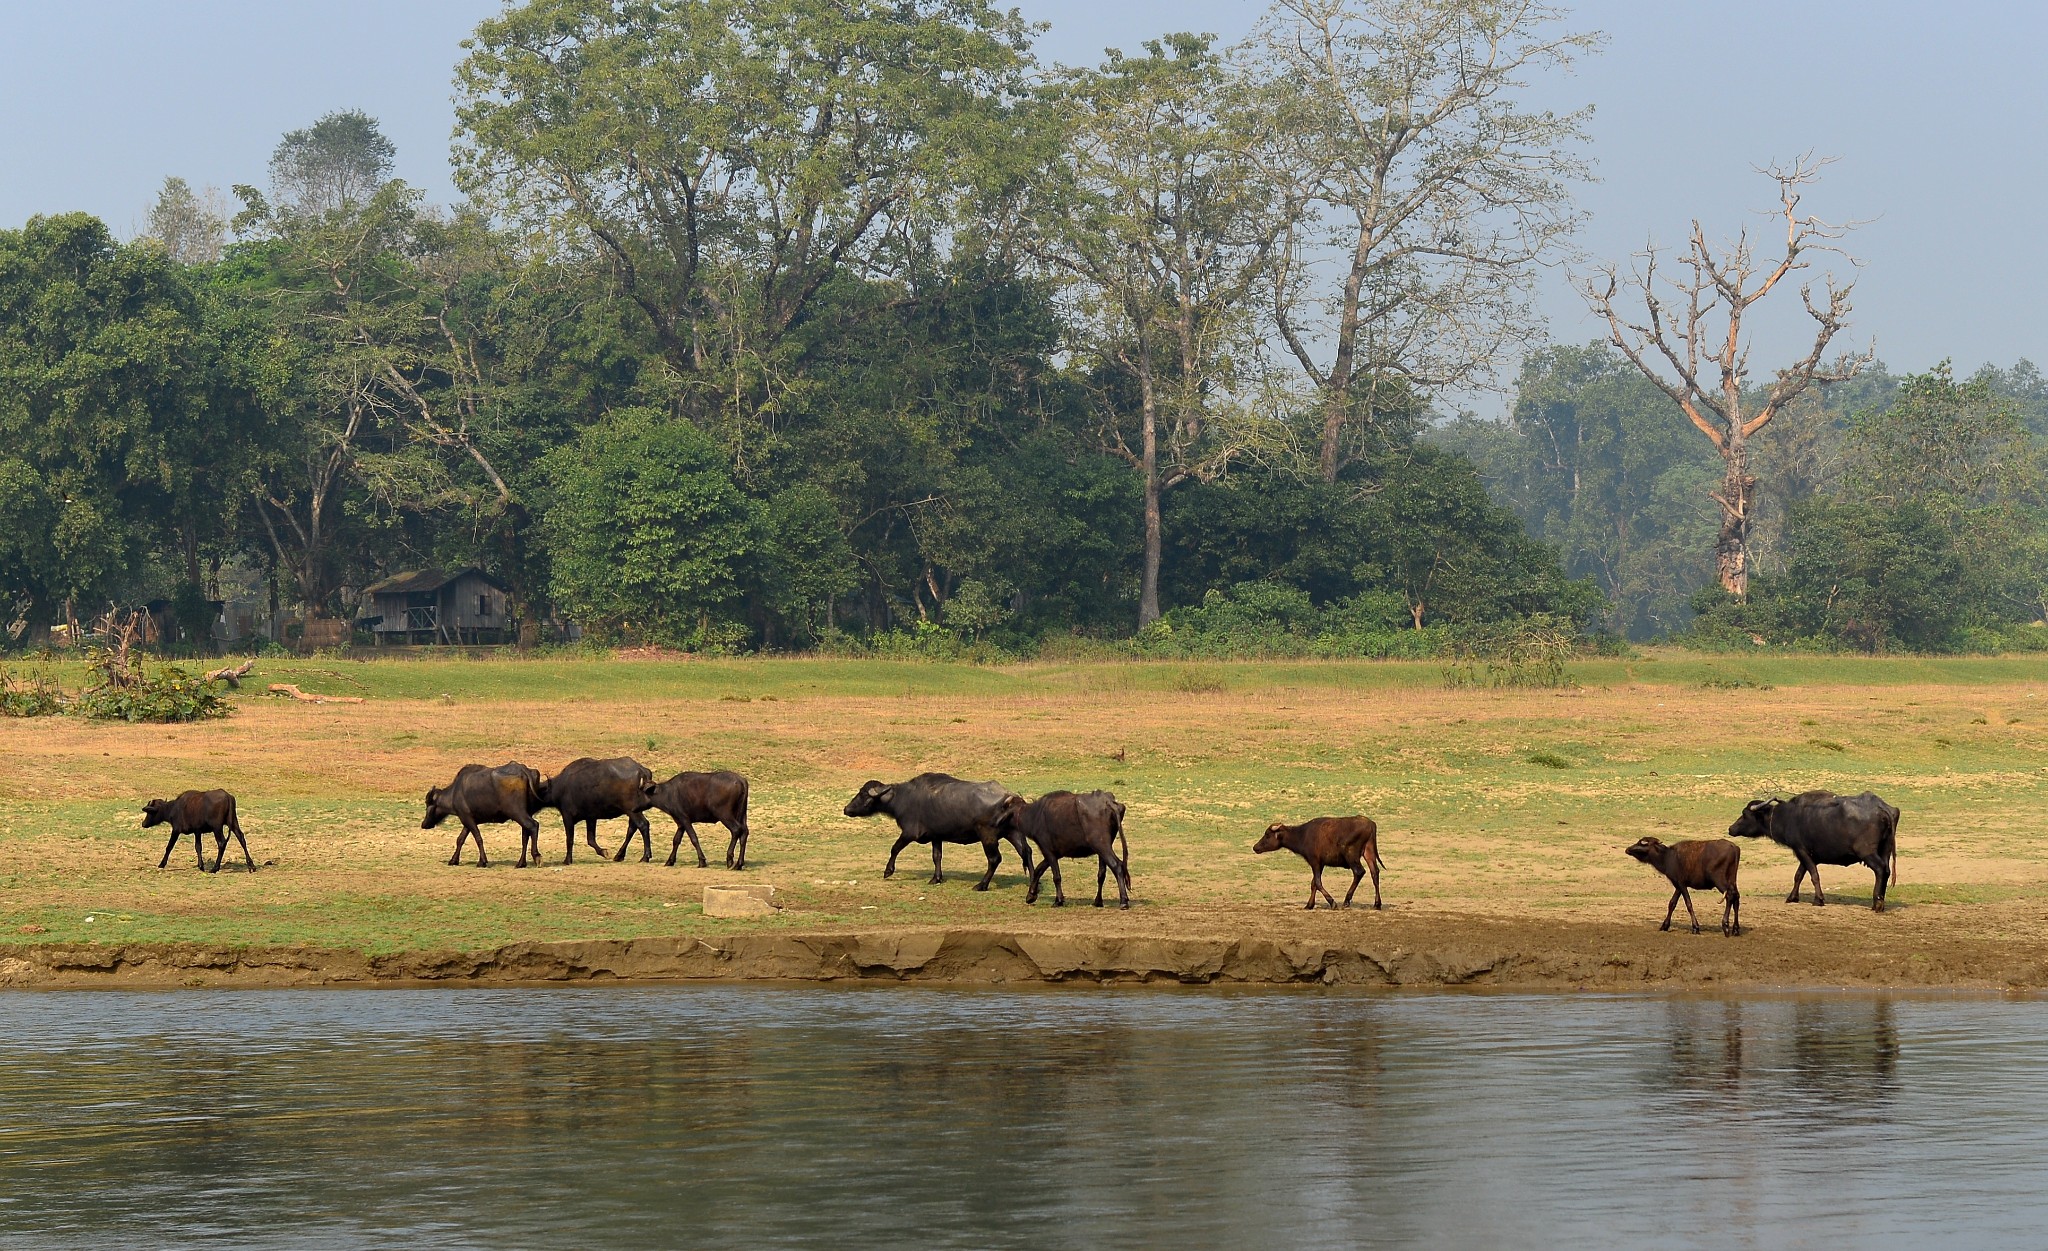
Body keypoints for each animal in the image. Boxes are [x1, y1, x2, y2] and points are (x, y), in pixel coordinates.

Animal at [622, 769, 761, 868]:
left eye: (638, 793)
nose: (632, 808)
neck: (668, 793)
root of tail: (741, 780)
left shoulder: (685, 819)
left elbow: (694, 838)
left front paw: (702, 861)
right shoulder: (680, 823)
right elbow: (676, 840)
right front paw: (670, 861)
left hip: (724, 814)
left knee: (736, 830)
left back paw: (730, 860)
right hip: (741, 814)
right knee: (744, 832)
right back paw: (739, 863)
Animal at [839, 773, 1032, 892]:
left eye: (863, 794)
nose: (846, 809)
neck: (902, 798)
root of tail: (1011, 797)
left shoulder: (909, 833)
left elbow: (894, 848)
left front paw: (888, 871)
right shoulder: (936, 836)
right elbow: (936, 856)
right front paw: (936, 878)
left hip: (988, 836)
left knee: (995, 859)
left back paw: (981, 885)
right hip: (1013, 832)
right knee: (1026, 852)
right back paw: (1032, 885)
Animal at [1007, 794, 1138, 909]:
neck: (1035, 815)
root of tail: (1109, 803)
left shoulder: (1048, 850)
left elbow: (1056, 876)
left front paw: (1058, 901)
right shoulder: (1056, 853)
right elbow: (1038, 869)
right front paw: (1031, 895)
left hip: (1102, 846)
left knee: (1117, 866)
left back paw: (1123, 901)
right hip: (1103, 849)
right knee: (1102, 873)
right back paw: (1098, 901)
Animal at [1253, 810, 1384, 909]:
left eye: (1267, 835)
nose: (1255, 847)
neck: (1302, 835)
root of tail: (1370, 824)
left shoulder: (1314, 862)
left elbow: (1317, 882)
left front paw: (1332, 902)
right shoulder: (1320, 864)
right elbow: (1313, 884)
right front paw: (1309, 905)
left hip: (1352, 856)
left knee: (1359, 872)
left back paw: (1346, 901)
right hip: (1369, 852)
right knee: (1375, 873)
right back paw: (1377, 904)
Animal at [1728, 794, 1900, 909]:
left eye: (1744, 814)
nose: (1730, 829)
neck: (1787, 817)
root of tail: (1882, 808)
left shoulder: (1801, 850)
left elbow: (1814, 875)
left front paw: (1818, 899)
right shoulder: (1809, 855)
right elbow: (1799, 875)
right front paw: (1792, 897)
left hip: (1867, 853)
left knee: (1881, 870)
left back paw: (1877, 903)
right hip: (1885, 850)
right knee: (1886, 870)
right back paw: (1881, 901)